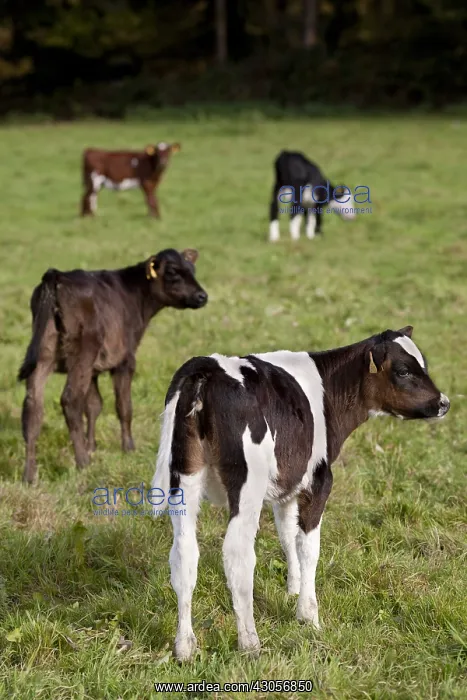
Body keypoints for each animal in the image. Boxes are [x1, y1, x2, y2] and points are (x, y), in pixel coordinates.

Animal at [18, 248, 207, 485]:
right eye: (173, 271)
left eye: (192, 269)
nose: (202, 296)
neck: (134, 296)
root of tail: (57, 275)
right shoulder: (125, 361)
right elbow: (123, 406)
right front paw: (128, 448)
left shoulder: (93, 370)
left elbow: (93, 405)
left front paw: (91, 446)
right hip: (83, 352)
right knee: (70, 400)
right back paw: (82, 463)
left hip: (45, 353)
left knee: (33, 407)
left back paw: (29, 474)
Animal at [152, 326, 450, 660]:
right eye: (403, 370)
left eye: (423, 363)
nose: (443, 403)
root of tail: (206, 368)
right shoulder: (318, 480)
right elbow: (309, 547)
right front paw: (308, 615)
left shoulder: (288, 484)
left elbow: (287, 534)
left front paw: (291, 590)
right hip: (247, 483)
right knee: (238, 554)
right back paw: (250, 644)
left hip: (184, 477)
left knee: (184, 555)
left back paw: (184, 647)